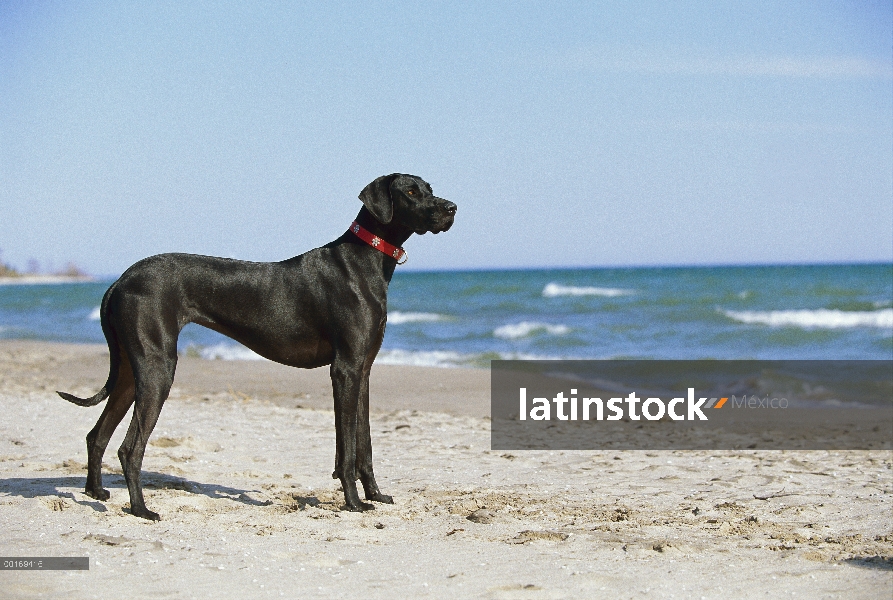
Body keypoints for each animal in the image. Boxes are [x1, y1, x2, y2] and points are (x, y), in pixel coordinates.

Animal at [59, 173, 456, 520]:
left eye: (429, 187)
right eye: (411, 192)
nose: (452, 207)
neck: (364, 261)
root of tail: (121, 279)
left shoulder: (363, 370)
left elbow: (364, 443)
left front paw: (376, 494)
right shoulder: (344, 370)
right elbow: (346, 449)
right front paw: (354, 503)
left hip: (131, 372)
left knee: (96, 435)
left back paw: (95, 492)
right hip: (158, 370)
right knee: (130, 448)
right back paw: (141, 509)